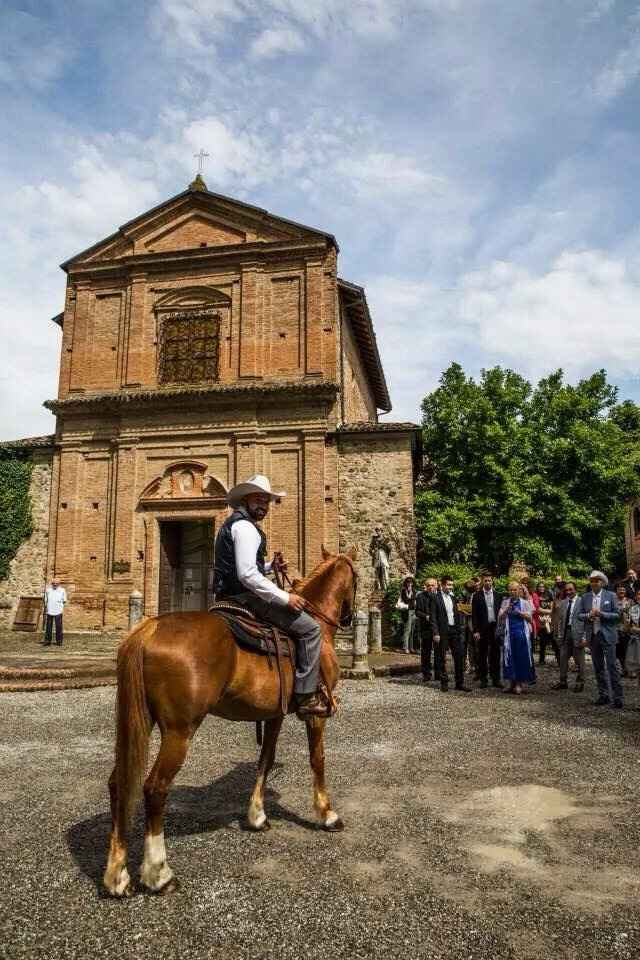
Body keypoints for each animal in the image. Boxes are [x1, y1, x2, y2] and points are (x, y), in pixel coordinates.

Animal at [102, 548, 358, 900]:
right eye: (357, 579)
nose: (349, 618)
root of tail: (148, 629)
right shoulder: (316, 712)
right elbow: (317, 760)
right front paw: (327, 814)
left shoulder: (274, 714)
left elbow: (265, 760)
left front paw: (257, 815)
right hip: (180, 731)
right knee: (154, 787)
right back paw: (158, 873)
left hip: (141, 720)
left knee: (119, 782)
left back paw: (117, 875)